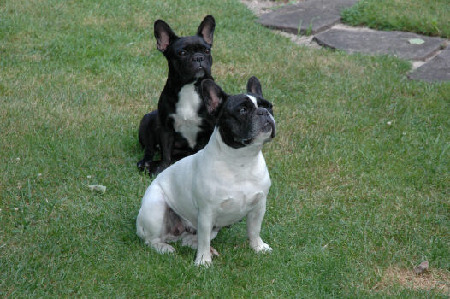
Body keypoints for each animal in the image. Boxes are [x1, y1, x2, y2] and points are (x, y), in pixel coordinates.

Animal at [135, 77, 276, 268]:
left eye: (269, 106)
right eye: (242, 110)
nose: (264, 112)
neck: (242, 160)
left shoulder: (259, 205)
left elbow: (254, 230)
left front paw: (258, 247)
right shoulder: (207, 212)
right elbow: (204, 238)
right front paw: (203, 261)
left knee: (189, 238)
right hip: (155, 206)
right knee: (151, 240)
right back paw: (165, 248)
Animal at [138, 15, 217, 176]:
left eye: (206, 50)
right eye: (182, 53)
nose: (199, 57)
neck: (189, 86)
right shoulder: (166, 128)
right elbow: (166, 154)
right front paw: (162, 169)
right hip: (146, 122)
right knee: (149, 149)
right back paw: (146, 163)